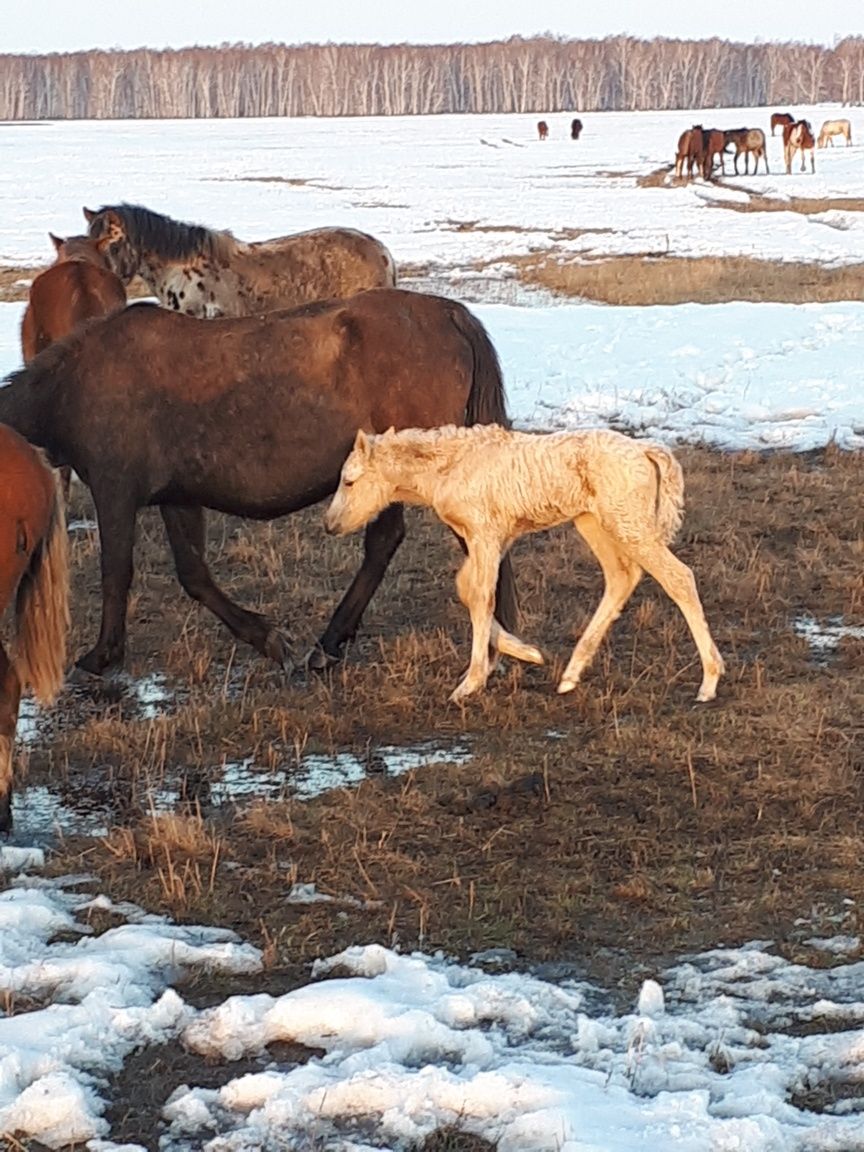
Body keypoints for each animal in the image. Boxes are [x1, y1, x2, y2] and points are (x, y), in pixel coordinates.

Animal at [0, 292, 518, 677]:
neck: (72, 386)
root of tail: (451, 315)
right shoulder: (177, 497)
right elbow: (194, 575)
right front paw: (266, 639)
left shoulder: (115, 491)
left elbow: (115, 573)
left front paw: (101, 656)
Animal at [324, 428, 723, 705]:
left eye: (349, 481)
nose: (329, 525)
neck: (453, 465)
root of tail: (645, 450)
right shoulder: (495, 538)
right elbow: (467, 590)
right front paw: (526, 653)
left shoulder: (486, 534)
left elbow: (481, 597)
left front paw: (470, 683)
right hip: (592, 522)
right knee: (621, 576)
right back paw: (571, 674)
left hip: (629, 524)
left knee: (678, 577)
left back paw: (709, 681)